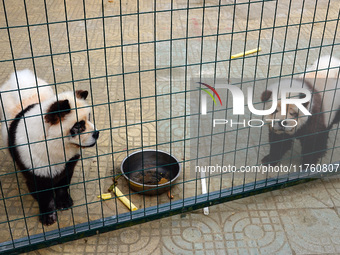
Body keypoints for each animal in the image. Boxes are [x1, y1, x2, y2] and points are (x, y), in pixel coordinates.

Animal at [0, 70, 99, 225]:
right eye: (78, 126)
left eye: (89, 118)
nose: (97, 133)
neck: (56, 147)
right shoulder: (37, 172)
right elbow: (45, 198)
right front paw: (48, 217)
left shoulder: (67, 166)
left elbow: (62, 186)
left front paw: (64, 203)